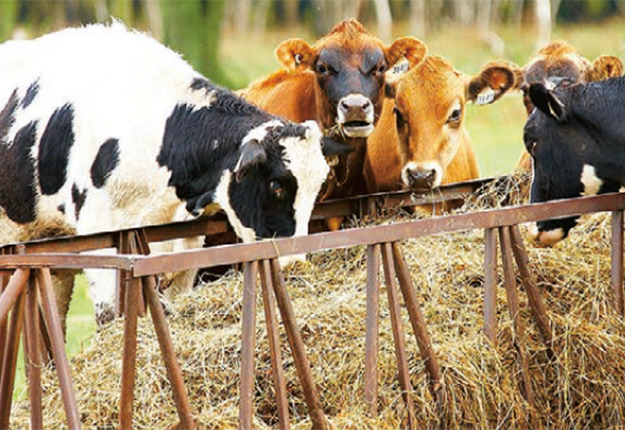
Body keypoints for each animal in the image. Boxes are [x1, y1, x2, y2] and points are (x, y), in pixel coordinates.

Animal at [0, 23, 352, 324]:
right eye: (276, 186)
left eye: (316, 189)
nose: (294, 263)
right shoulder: (99, 239)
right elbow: (110, 317)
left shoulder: (184, 246)